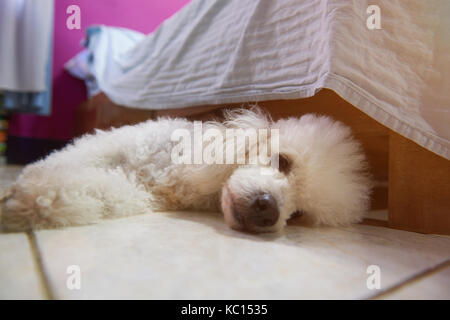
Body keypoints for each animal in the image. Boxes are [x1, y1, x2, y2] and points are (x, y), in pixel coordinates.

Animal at [0, 107, 372, 232]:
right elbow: (66, 158)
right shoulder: (112, 143)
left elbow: (104, 192)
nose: (268, 210)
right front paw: (28, 182)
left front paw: (38, 201)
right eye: (283, 161)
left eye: (298, 214)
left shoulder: (141, 194)